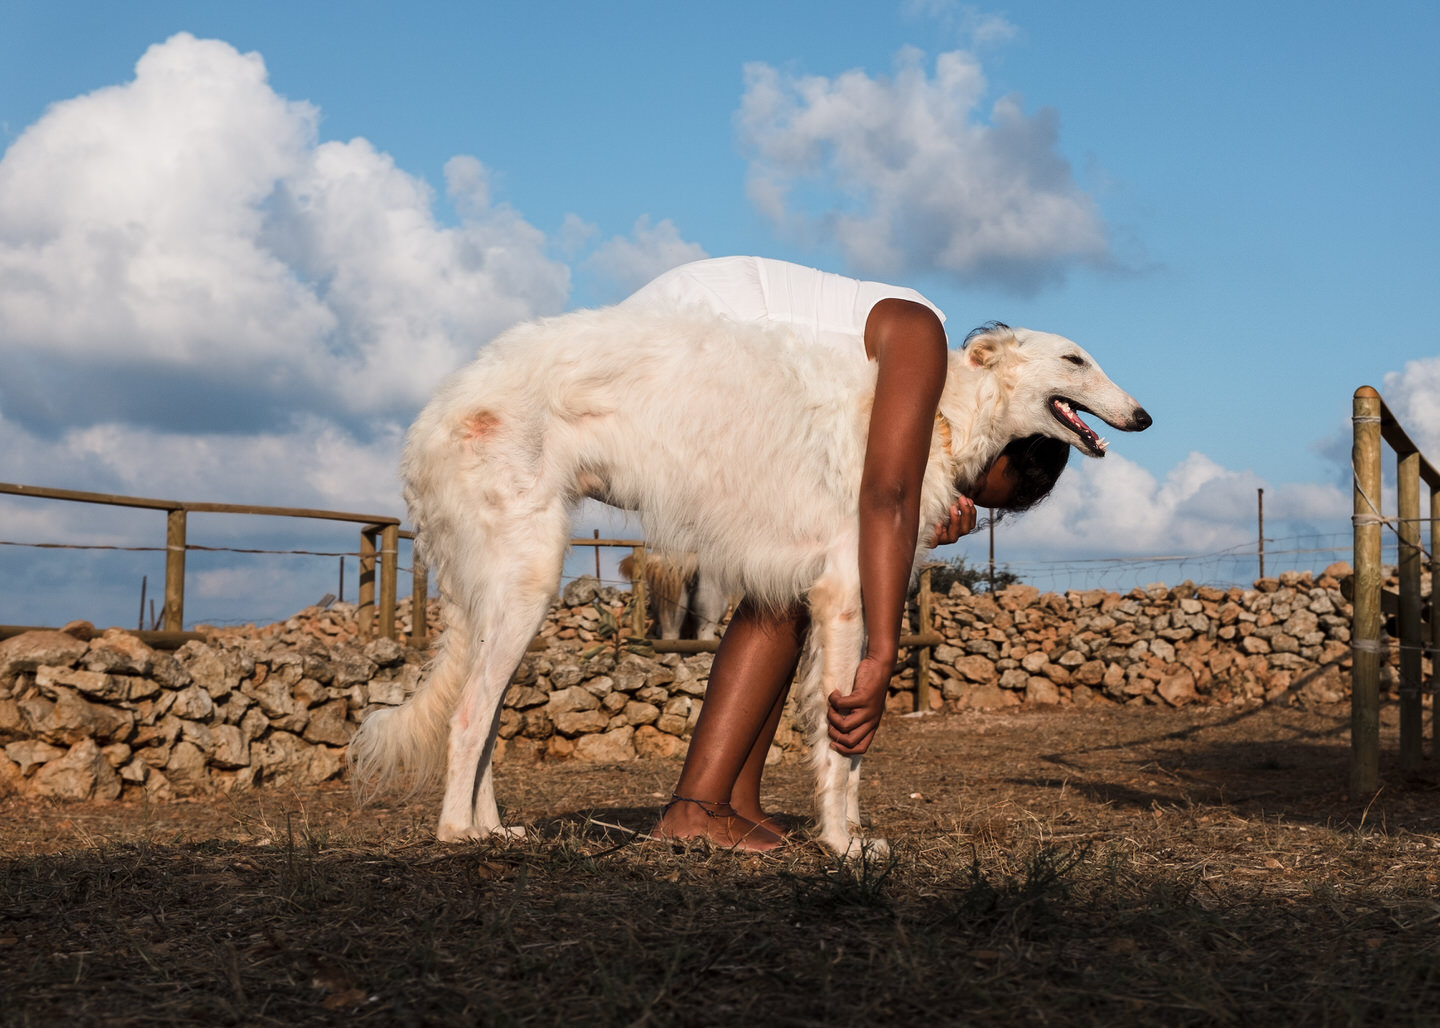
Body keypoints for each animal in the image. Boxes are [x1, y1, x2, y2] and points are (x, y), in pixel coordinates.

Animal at [348, 308, 1146, 852]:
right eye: (1075, 357)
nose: (1142, 415)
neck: (947, 412)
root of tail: (435, 413)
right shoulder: (847, 593)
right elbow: (846, 747)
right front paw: (843, 846)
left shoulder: (818, 591)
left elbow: (839, 743)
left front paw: (845, 834)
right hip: (525, 582)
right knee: (466, 720)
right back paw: (459, 835)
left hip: (508, 597)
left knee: (481, 722)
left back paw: (494, 827)